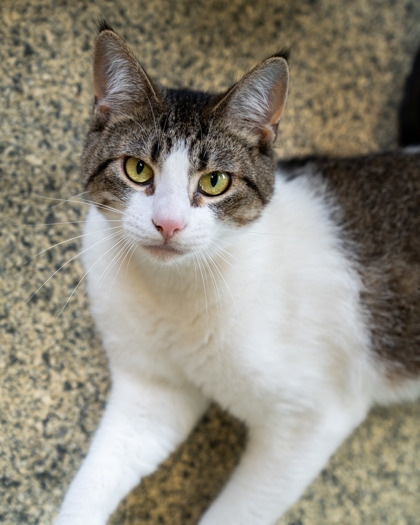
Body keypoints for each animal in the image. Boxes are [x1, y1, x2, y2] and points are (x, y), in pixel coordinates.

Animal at [54, 20, 418, 524]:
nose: (168, 223)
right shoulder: (153, 390)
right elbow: (99, 475)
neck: (173, 289)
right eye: (136, 169)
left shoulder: (310, 419)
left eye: (215, 182)